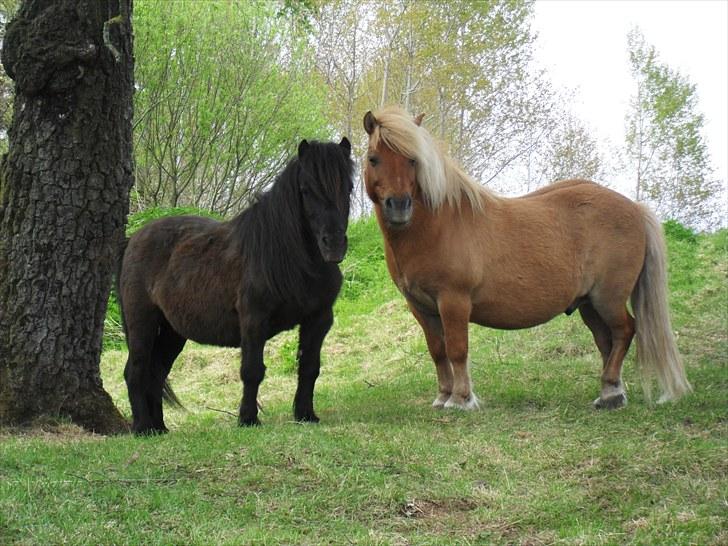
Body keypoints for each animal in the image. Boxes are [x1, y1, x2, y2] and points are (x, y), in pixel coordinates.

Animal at [118, 138, 354, 432]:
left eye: (349, 187)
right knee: (136, 370)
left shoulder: (318, 319)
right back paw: (142, 427)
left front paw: (305, 414)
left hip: (172, 331)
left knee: (156, 372)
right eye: (306, 190)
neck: (292, 259)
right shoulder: (254, 319)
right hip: (143, 323)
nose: (334, 245)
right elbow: (252, 371)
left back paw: (158, 427)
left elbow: (309, 368)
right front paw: (248, 418)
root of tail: (133, 240)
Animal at [362, 106, 692, 408]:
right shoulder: (421, 308)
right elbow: (438, 352)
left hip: (607, 298)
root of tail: (635, 208)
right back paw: (611, 392)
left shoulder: (454, 301)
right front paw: (443, 396)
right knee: (606, 341)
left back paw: (610, 390)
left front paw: (461, 399)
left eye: (412, 160)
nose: (399, 206)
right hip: (589, 304)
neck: (438, 226)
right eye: (374, 158)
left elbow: (457, 349)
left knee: (624, 331)